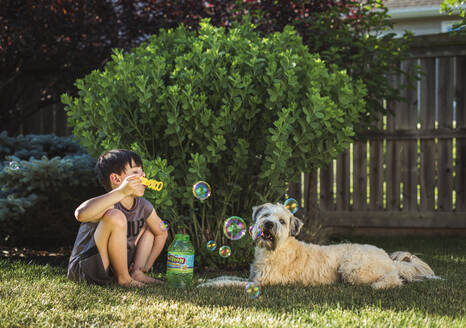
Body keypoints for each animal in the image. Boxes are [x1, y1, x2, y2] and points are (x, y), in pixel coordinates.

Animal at [198, 201, 438, 288]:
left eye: (282, 221)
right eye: (265, 215)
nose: (268, 224)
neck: (275, 251)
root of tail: (389, 259)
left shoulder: (259, 283)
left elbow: (228, 282)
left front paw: (206, 285)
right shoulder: (251, 278)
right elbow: (225, 276)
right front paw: (203, 279)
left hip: (352, 269)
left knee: (394, 279)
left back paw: (380, 285)